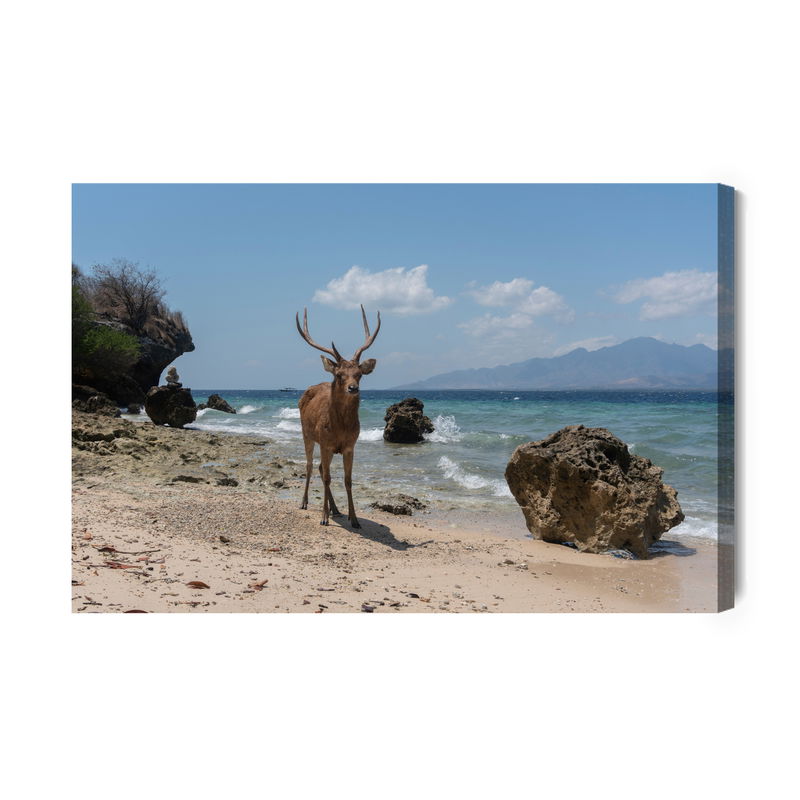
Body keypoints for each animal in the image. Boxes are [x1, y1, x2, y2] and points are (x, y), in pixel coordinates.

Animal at [295, 305, 381, 528]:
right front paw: (324, 517)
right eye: (339, 375)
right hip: (307, 434)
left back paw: (336, 509)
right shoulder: (325, 443)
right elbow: (327, 478)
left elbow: (347, 480)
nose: (353, 388)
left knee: (318, 467)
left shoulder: (350, 446)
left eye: (359, 374)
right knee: (310, 466)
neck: (340, 428)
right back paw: (304, 502)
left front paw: (355, 518)